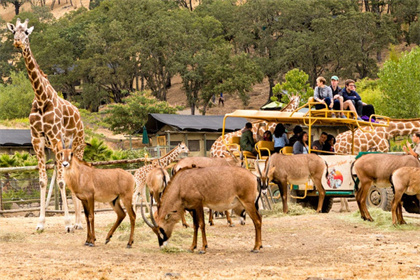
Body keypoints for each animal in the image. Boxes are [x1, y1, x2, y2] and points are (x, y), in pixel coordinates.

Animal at [6, 18, 84, 231]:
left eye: (27, 33)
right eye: (14, 31)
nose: (17, 42)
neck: (41, 99)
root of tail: (80, 117)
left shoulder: (56, 137)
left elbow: (62, 182)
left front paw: (67, 223)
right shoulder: (37, 140)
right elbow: (42, 181)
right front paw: (40, 223)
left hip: (77, 145)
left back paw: (78, 223)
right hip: (60, 149)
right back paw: (77, 222)